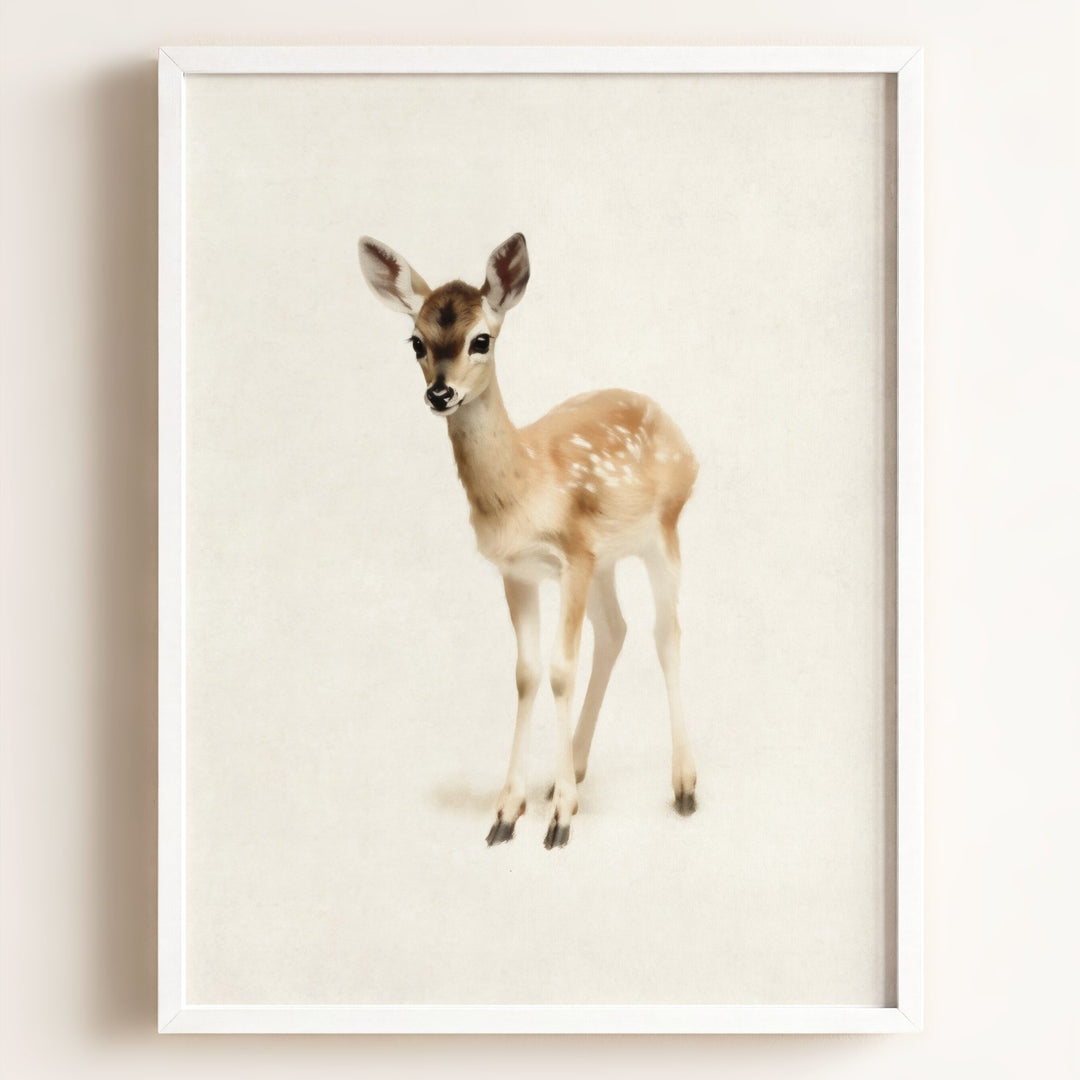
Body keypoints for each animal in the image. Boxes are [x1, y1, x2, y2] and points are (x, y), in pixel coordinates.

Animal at [358, 233, 699, 849]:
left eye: (481, 339)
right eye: (416, 340)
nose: (440, 393)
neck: (525, 488)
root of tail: (680, 434)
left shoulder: (573, 555)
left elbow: (562, 669)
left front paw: (559, 821)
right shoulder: (519, 569)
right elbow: (528, 674)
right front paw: (508, 811)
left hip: (662, 530)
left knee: (666, 632)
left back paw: (683, 786)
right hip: (607, 559)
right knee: (616, 630)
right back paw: (573, 772)